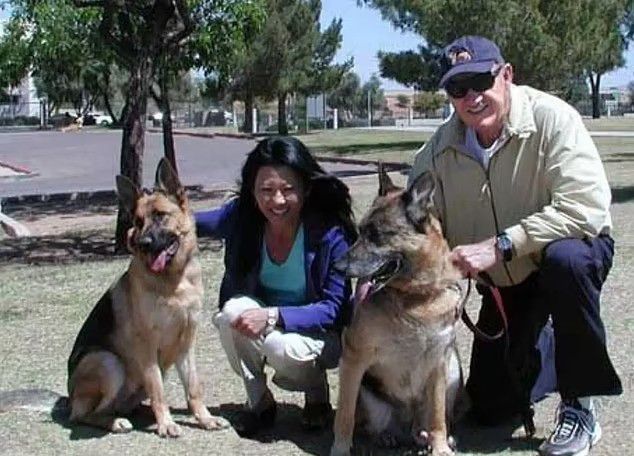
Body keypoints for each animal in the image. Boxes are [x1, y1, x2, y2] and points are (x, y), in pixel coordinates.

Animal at [66, 159, 222, 436]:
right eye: (138, 221)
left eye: (160, 215)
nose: (144, 243)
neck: (173, 282)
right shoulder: (147, 344)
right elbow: (157, 388)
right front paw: (166, 424)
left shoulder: (187, 342)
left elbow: (193, 387)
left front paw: (204, 418)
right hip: (108, 362)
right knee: (86, 414)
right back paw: (116, 422)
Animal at [330, 167, 464, 456]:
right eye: (360, 231)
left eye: (378, 235)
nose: (336, 266)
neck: (415, 297)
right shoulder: (353, 359)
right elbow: (344, 415)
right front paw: (341, 449)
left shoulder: (439, 362)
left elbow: (438, 416)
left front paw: (440, 447)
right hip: (370, 397)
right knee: (372, 425)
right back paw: (387, 437)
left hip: (454, 372)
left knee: (427, 423)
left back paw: (428, 437)